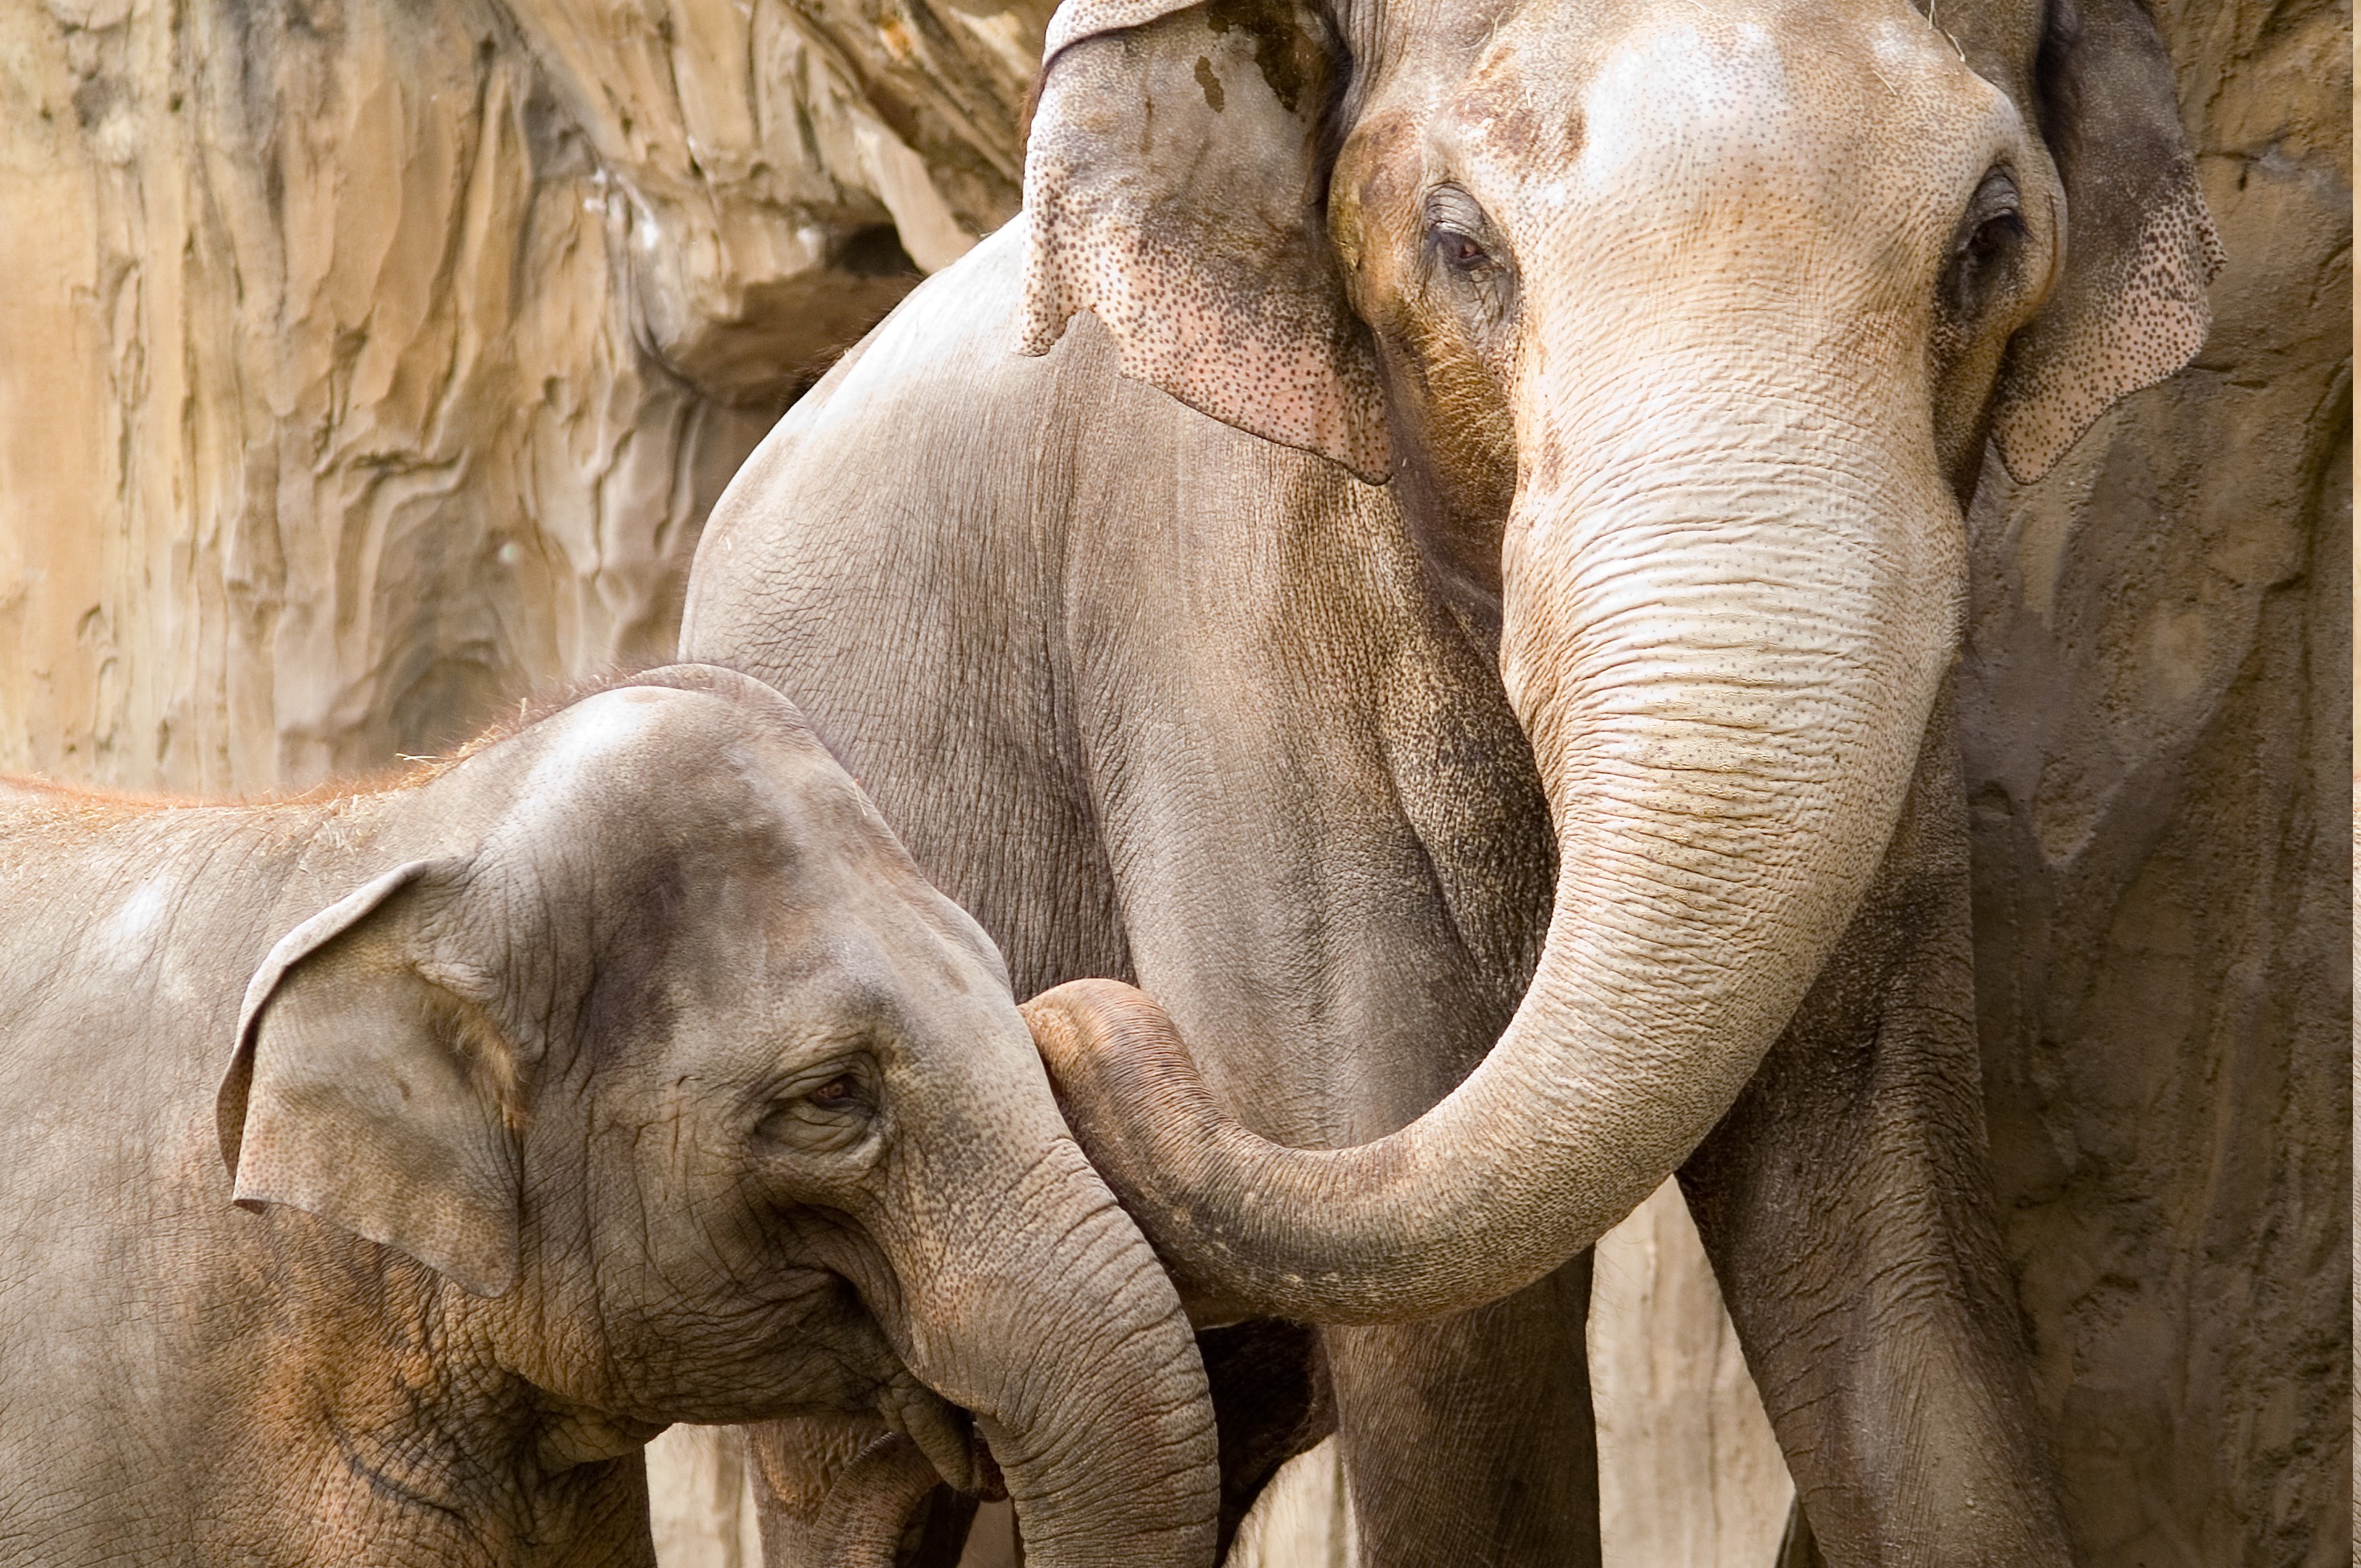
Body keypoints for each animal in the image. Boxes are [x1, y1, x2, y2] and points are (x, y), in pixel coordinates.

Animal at [677, 0, 2221, 1557]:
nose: (1052, 1021)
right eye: (1458, 240)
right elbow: (1457, 1334)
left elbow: (1880, 1241)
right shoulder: (1215, 618)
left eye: (1990, 235)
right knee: (850, 1486)